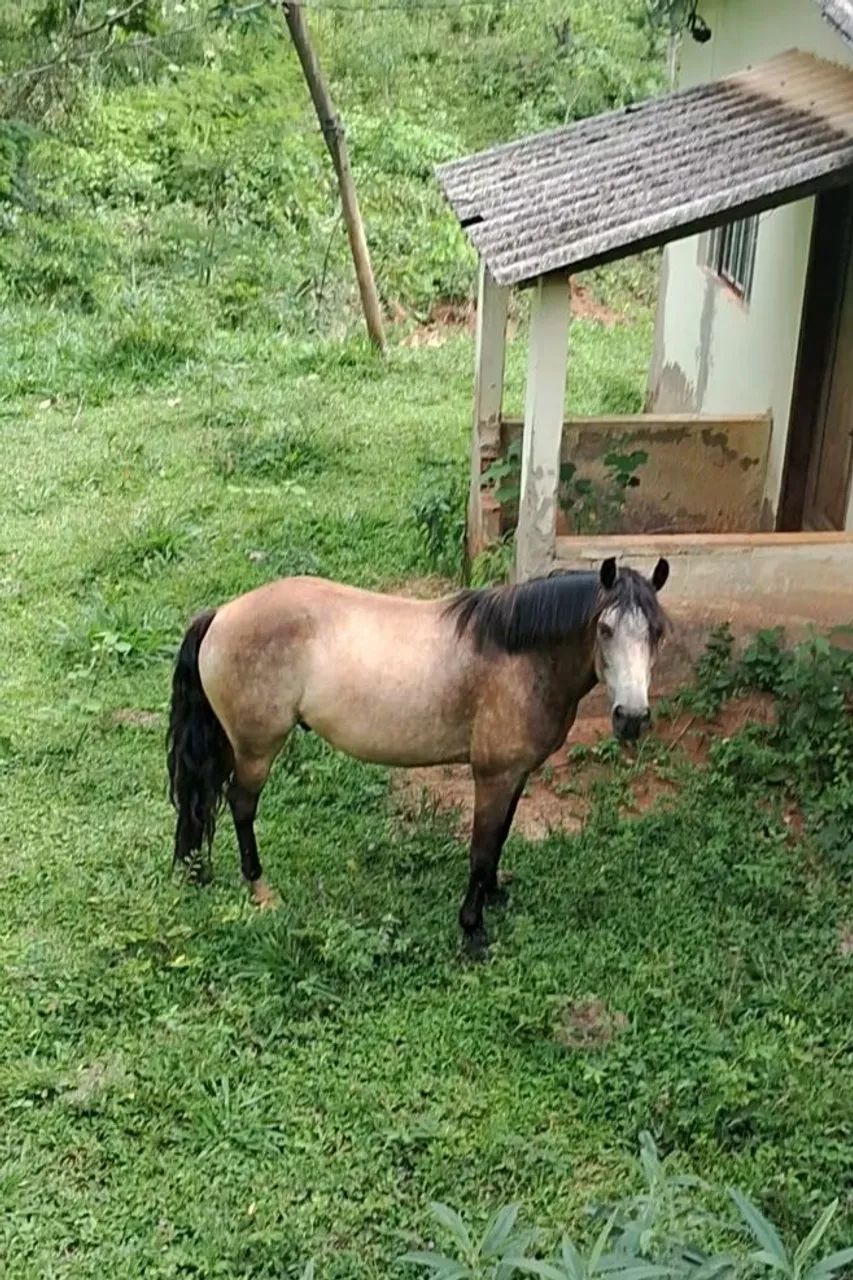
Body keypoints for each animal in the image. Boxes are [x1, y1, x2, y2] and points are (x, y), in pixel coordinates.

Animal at [166, 555, 669, 952]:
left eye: (658, 633)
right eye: (604, 629)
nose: (631, 718)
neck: (519, 656)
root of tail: (221, 614)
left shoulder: (516, 775)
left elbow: (501, 837)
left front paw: (493, 897)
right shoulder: (493, 776)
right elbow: (481, 850)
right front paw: (472, 931)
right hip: (256, 749)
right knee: (241, 805)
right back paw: (260, 888)